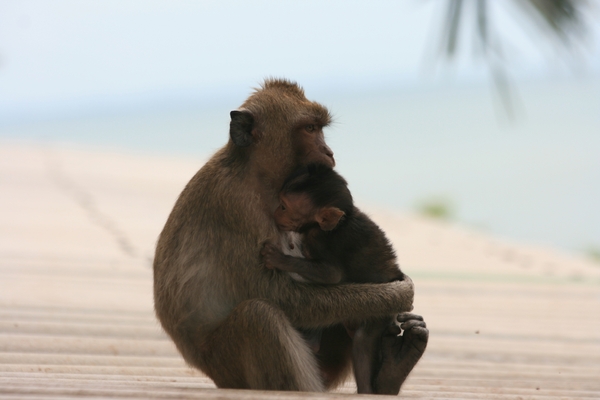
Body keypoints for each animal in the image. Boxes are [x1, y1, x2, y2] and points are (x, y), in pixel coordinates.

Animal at [262, 163, 422, 394]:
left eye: (284, 206)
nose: (275, 213)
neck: (342, 220)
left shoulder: (319, 239)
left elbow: (332, 274)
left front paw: (277, 258)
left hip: (382, 313)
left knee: (363, 341)